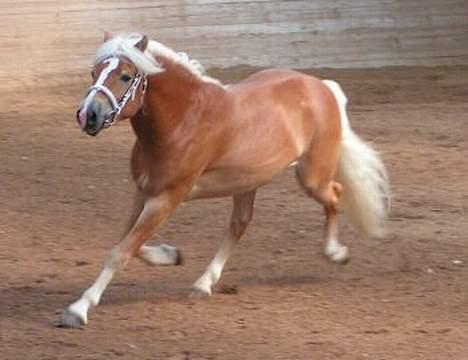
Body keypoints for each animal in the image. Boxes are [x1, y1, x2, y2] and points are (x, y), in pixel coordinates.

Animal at [60, 32, 390, 328]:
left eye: (126, 76)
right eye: (94, 72)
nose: (88, 115)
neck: (182, 121)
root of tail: (323, 87)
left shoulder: (168, 197)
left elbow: (121, 250)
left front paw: (78, 310)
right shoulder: (143, 191)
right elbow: (127, 241)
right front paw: (171, 255)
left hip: (311, 176)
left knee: (335, 193)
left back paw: (336, 253)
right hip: (247, 183)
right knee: (239, 224)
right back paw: (204, 283)